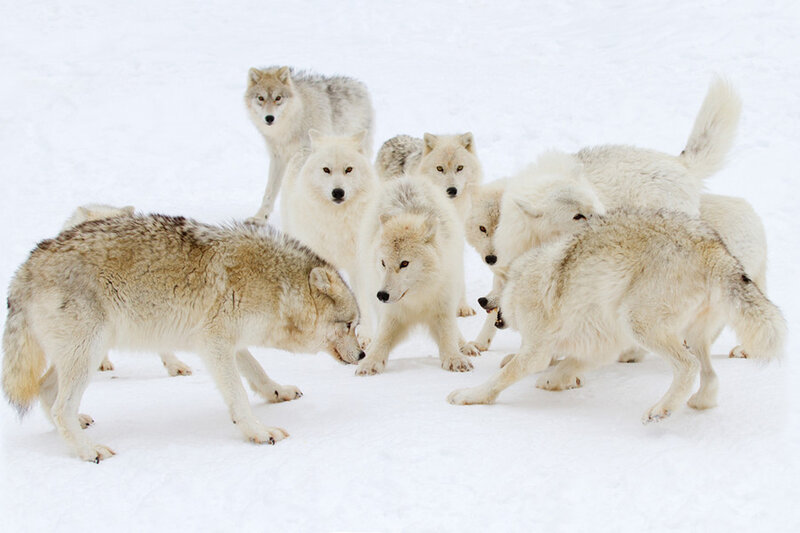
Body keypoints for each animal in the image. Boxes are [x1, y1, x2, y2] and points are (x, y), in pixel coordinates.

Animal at [244, 66, 374, 221]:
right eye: (261, 98)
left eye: (278, 98)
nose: (269, 118)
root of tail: (359, 85)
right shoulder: (278, 158)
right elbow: (269, 191)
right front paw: (259, 218)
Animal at [354, 177, 480, 375]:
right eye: (383, 263)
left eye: (404, 263)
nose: (382, 295)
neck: (417, 298)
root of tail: (406, 178)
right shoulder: (392, 313)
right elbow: (382, 338)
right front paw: (369, 362)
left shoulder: (442, 305)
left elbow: (448, 332)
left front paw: (455, 357)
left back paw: (465, 345)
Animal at [448, 209, 785, 422]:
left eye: (496, 285)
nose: (481, 300)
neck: (528, 279)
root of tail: (712, 247)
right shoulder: (601, 341)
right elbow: (569, 363)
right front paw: (553, 381)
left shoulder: (537, 350)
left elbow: (501, 377)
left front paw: (468, 396)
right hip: (690, 335)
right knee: (711, 377)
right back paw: (698, 403)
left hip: (640, 323)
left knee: (688, 366)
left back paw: (661, 409)